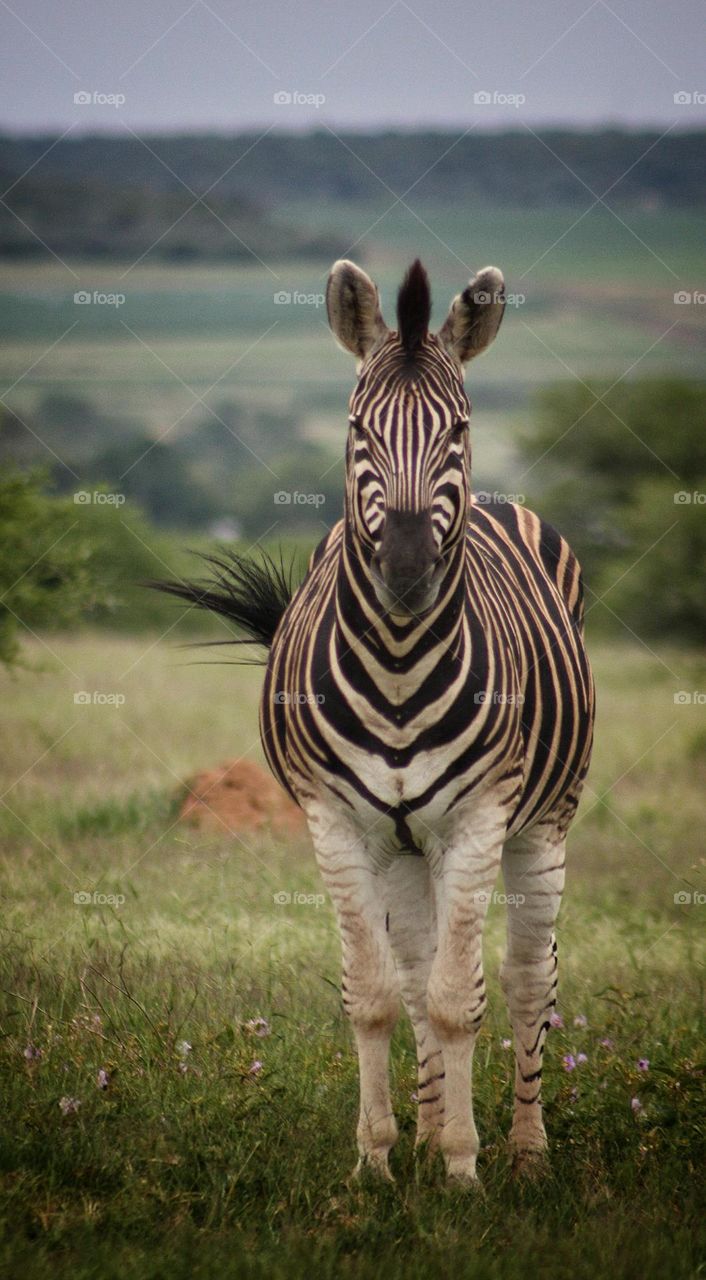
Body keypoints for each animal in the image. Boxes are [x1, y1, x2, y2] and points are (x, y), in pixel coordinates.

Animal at [153, 258, 594, 1185]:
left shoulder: (479, 820)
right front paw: (380, 1163)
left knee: (528, 979)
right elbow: (376, 994)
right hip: (404, 844)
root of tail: (502, 501)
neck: (396, 660)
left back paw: (526, 1153)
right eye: (358, 426)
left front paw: (463, 1170)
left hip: (545, 821)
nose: (405, 567)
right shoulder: (336, 823)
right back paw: (425, 1132)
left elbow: (461, 1000)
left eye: (459, 427)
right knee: (421, 967)